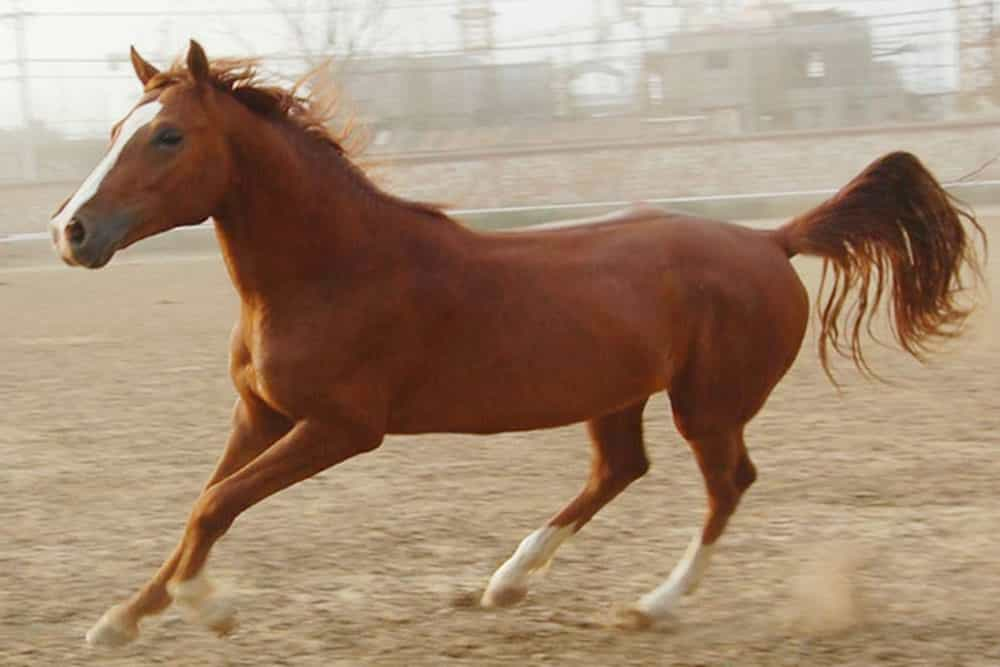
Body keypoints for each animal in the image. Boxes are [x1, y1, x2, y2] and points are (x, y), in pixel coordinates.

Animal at [50, 39, 980, 644]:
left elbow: (217, 503)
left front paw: (210, 608)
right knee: (620, 469)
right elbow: (204, 503)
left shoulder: (341, 428)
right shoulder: (262, 414)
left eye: (169, 135)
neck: (332, 268)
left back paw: (651, 605)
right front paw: (124, 617)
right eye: (115, 132)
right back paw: (504, 583)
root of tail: (771, 240)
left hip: (708, 405)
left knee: (727, 484)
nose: (71, 231)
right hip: (617, 396)